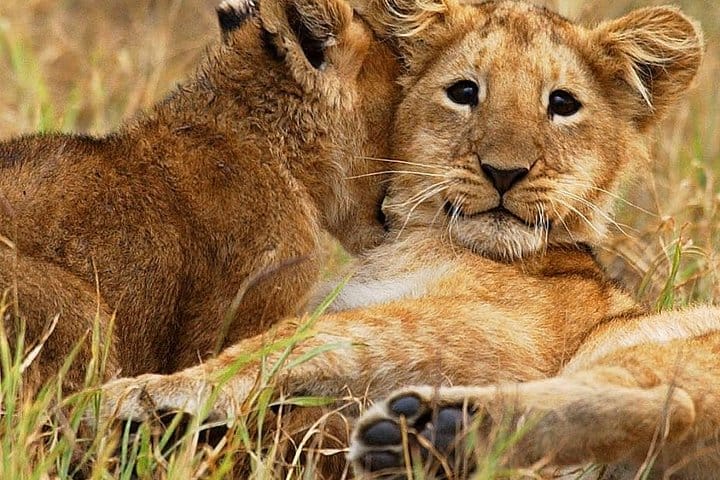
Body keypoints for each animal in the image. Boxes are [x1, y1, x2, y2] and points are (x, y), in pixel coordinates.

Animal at [98, 0, 710, 478]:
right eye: (464, 92)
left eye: (562, 104)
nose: (504, 172)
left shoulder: (509, 333)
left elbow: (305, 334)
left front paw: (149, 392)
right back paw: (429, 437)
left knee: (674, 405)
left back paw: (432, 432)